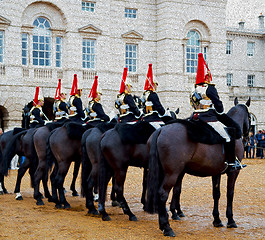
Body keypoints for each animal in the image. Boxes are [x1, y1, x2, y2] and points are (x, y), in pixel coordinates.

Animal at [144, 97, 250, 236]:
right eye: (250, 116)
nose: (248, 139)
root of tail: (161, 129)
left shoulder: (216, 172)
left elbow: (216, 194)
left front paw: (217, 220)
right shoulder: (233, 172)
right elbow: (230, 194)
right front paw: (231, 220)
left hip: (163, 171)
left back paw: (163, 223)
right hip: (172, 173)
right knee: (162, 194)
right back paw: (167, 228)